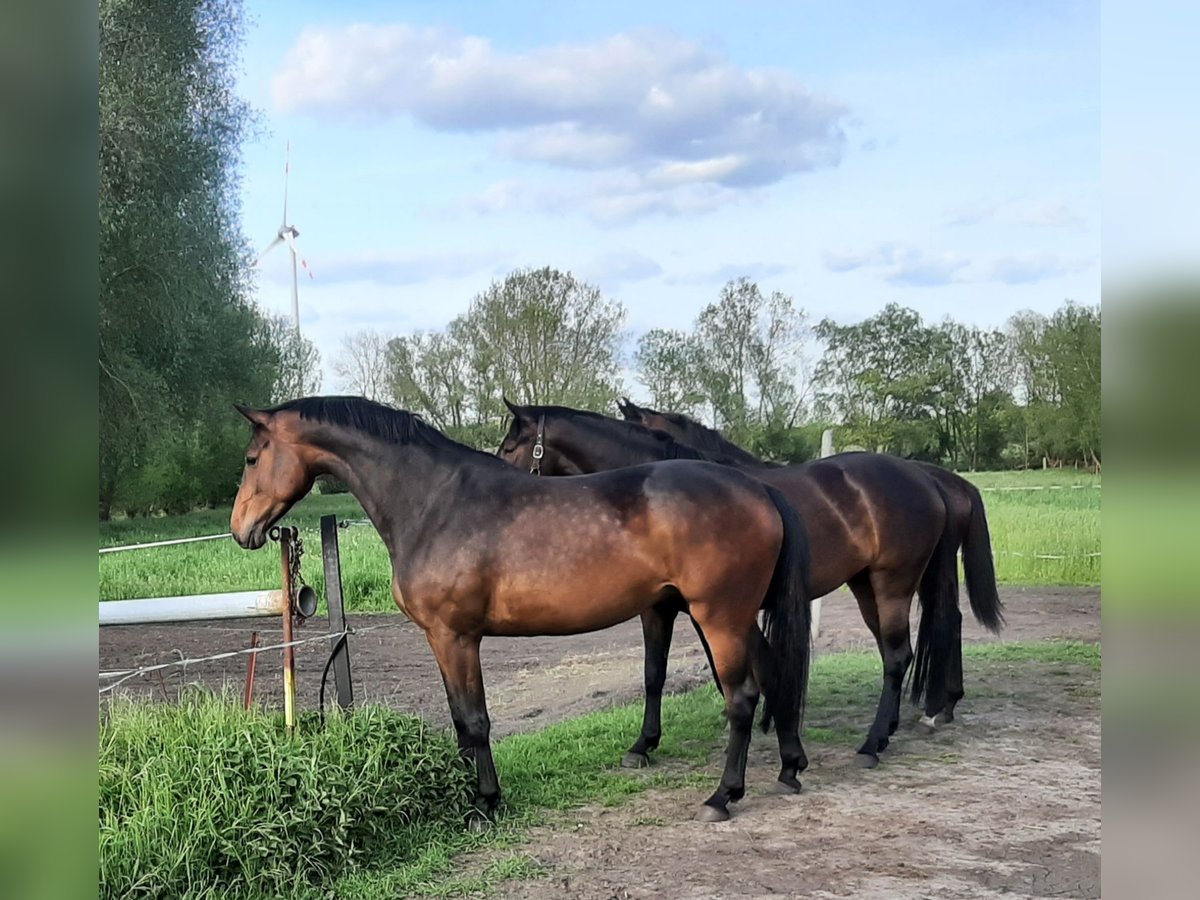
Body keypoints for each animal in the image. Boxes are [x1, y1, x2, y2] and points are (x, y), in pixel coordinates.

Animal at [231, 396, 816, 825]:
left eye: (252, 458)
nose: (242, 530)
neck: (434, 504)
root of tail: (757, 489)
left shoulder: (455, 636)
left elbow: (475, 720)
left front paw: (485, 803)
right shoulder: (443, 638)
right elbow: (459, 719)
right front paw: (467, 794)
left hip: (719, 617)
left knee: (742, 697)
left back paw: (724, 796)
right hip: (733, 618)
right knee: (771, 674)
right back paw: (788, 767)